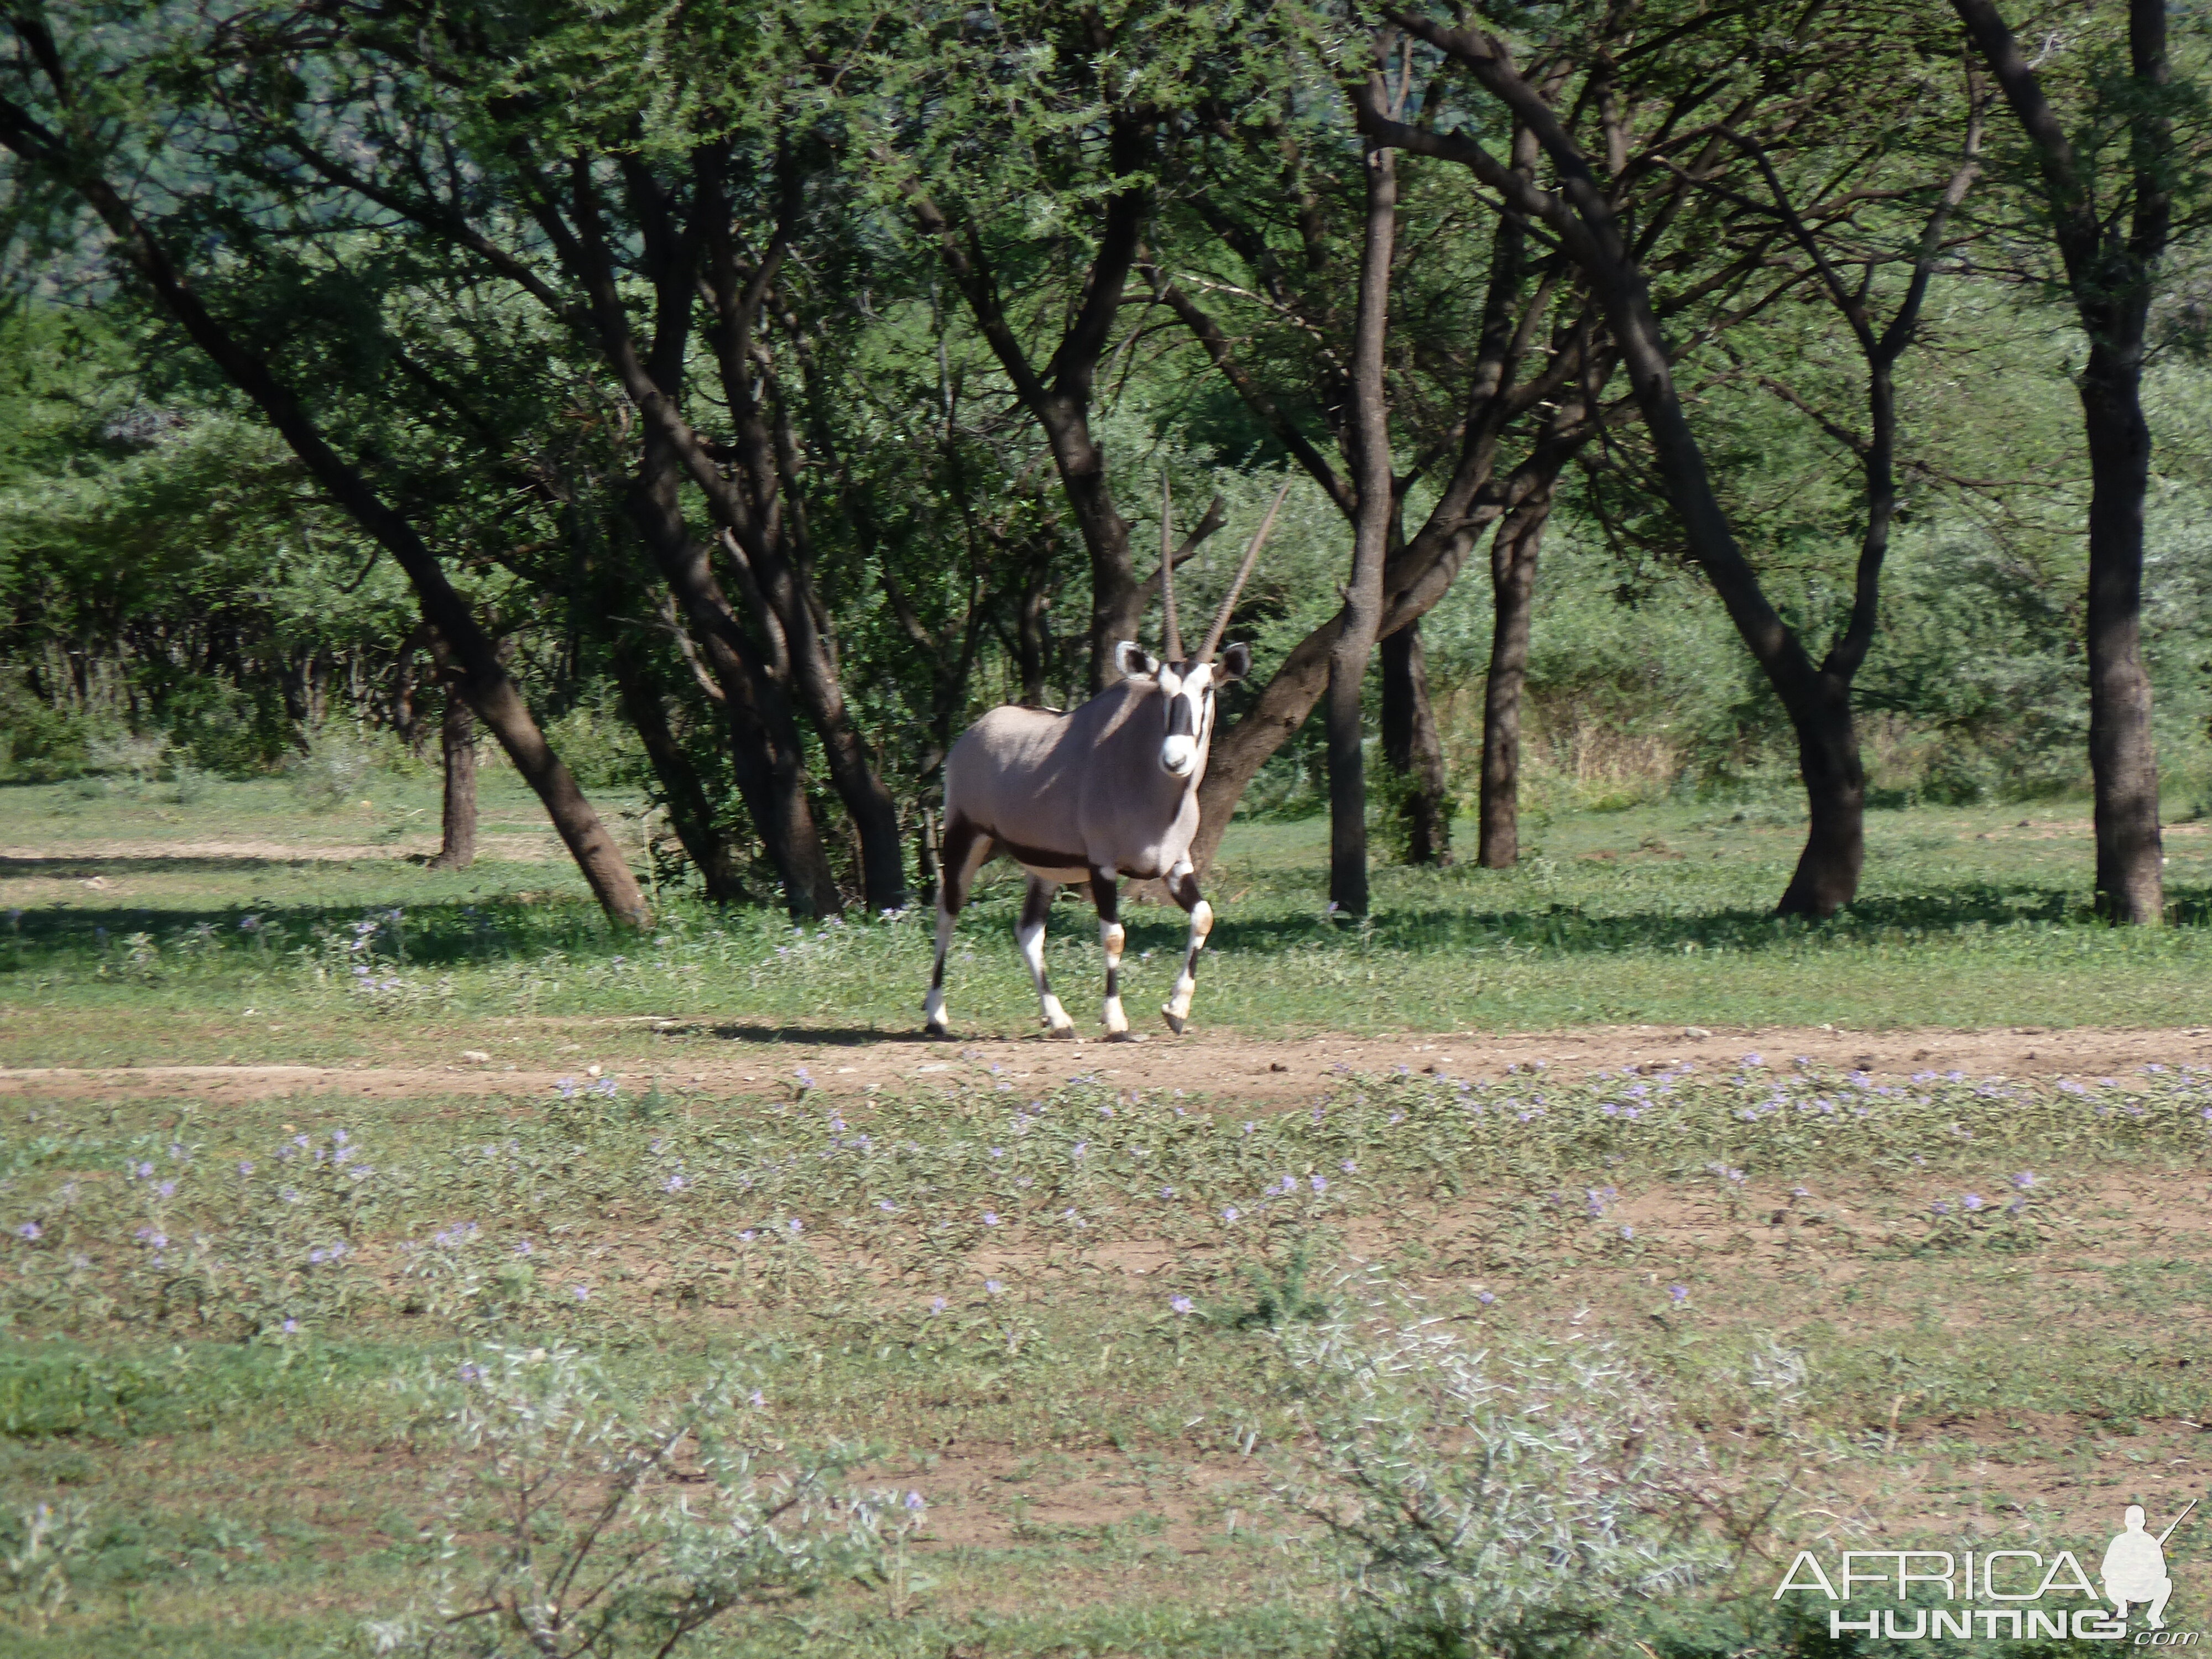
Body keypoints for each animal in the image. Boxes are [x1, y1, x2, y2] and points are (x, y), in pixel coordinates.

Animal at [920, 480, 1292, 1044]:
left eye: (1207, 690)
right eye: (1161, 691)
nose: (1175, 759)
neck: (1151, 788)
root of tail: (977, 731)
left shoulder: (1174, 865)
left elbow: (1204, 917)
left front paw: (1176, 1010)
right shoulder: (1103, 866)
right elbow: (1114, 934)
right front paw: (1116, 1020)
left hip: (1043, 866)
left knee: (1028, 929)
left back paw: (1058, 1020)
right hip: (968, 837)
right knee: (948, 909)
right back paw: (937, 1015)